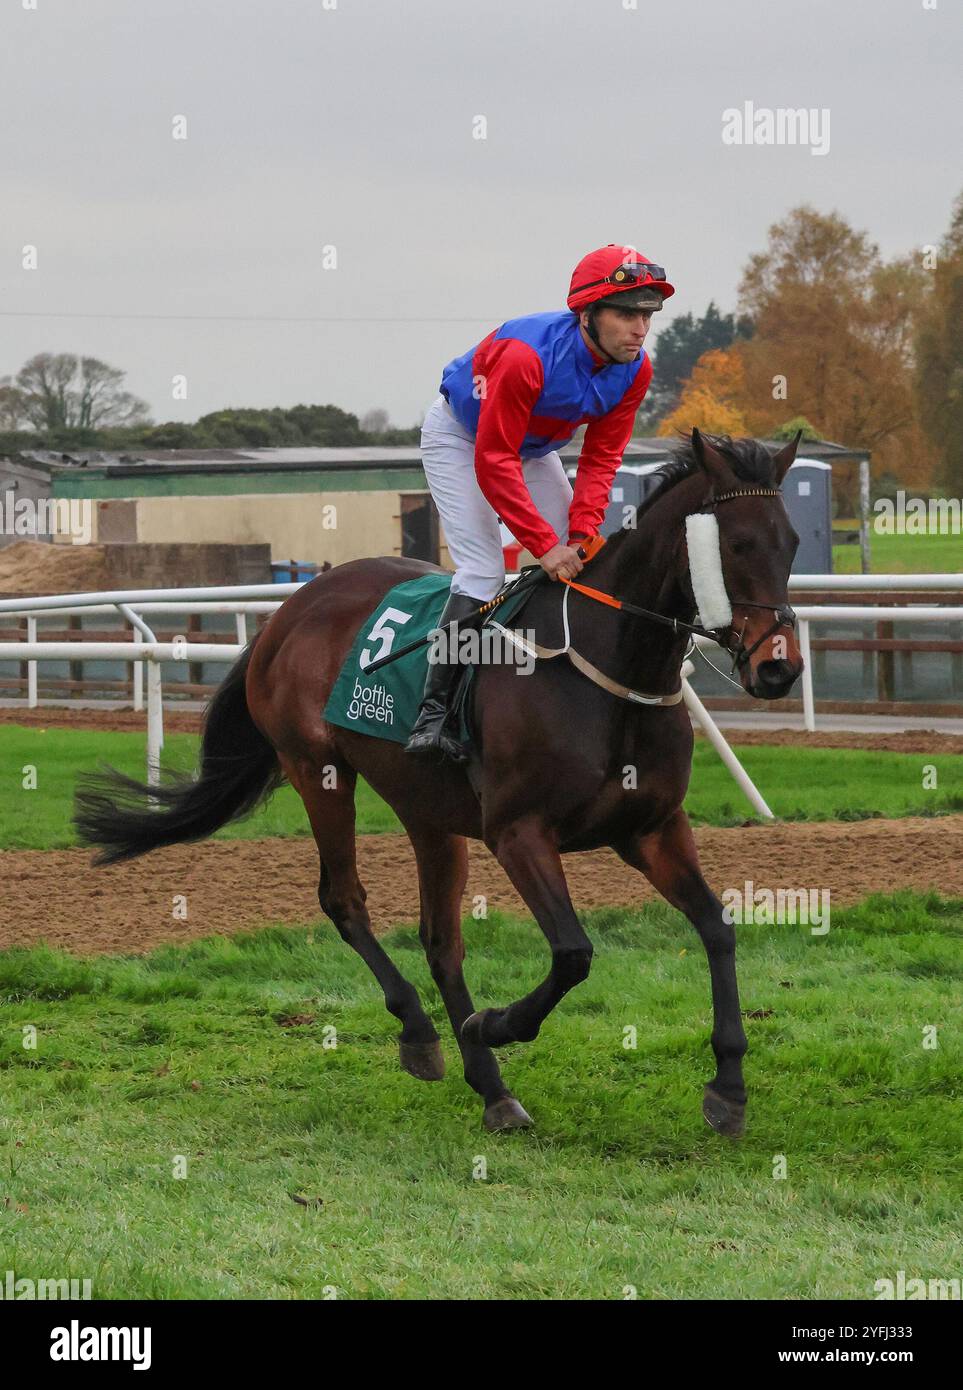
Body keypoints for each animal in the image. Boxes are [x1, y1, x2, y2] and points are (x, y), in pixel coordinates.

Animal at [75, 428, 800, 1134]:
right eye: (736, 544)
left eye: (790, 543)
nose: (778, 668)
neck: (605, 669)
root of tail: (291, 607)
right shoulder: (518, 832)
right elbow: (573, 951)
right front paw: (498, 1023)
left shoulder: (651, 827)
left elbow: (716, 925)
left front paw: (728, 1085)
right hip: (317, 771)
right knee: (345, 901)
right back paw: (423, 1033)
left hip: (428, 810)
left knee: (439, 941)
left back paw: (492, 1090)